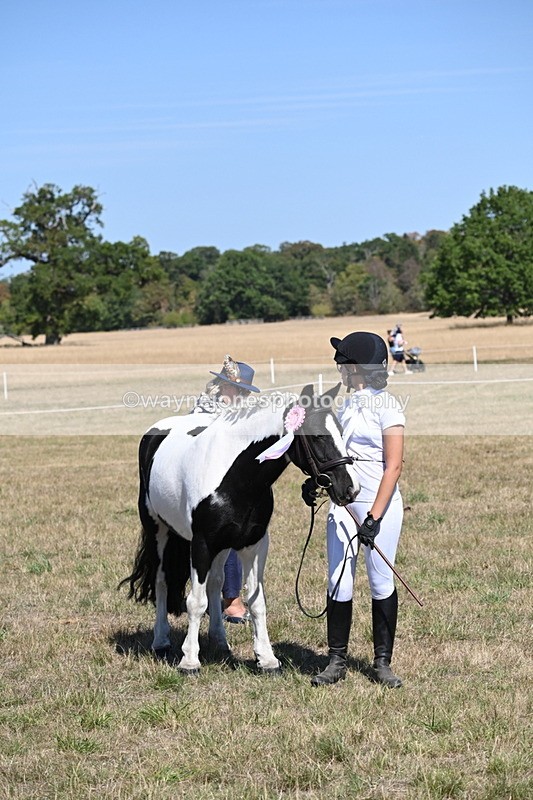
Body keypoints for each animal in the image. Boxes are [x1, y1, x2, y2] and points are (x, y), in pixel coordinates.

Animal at [121, 383, 358, 675]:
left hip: (223, 546)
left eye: (340, 431)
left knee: (215, 584)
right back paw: (161, 641)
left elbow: (255, 601)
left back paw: (220, 642)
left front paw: (266, 659)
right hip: (159, 531)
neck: (235, 477)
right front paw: (189, 661)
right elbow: (195, 602)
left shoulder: (253, 544)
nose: (351, 488)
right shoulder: (201, 544)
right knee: (162, 579)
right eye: (317, 437)